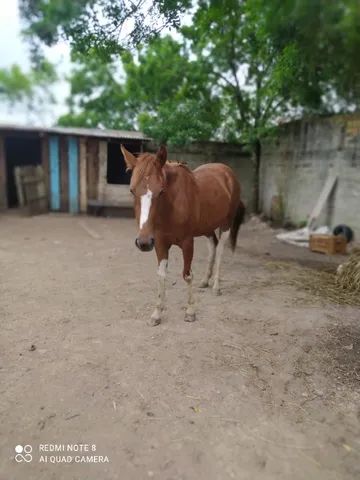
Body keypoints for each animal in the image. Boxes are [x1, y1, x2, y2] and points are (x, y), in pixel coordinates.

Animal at [121, 144, 245, 326]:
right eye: (132, 191)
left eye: (161, 191)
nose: (143, 243)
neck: (170, 207)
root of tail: (227, 171)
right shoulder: (160, 243)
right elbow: (161, 275)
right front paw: (157, 313)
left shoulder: (187, 243)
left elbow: (187, 275)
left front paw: (190, 312)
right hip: (207, 227)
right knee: (213, 246)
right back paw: (205, 281)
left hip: (226, 224)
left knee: (220, 251)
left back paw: (216, 286)